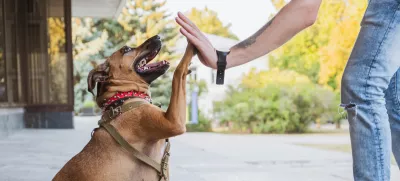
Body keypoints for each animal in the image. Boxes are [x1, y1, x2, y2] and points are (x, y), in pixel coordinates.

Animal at [53, 34, 195, 180]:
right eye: (126, 49)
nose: (158, 36)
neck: (124, 97)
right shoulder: (174, 122)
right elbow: (178, 72)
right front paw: (192, 44)